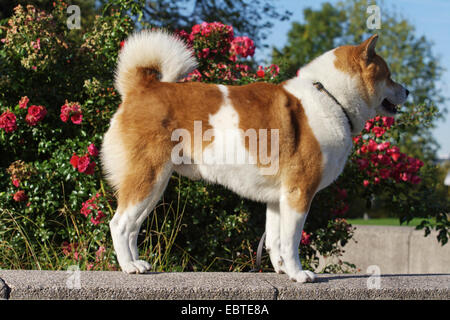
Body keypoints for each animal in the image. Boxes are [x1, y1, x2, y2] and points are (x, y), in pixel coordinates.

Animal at [101, 30, 408, 282]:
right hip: (148, 178)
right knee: (119, 224)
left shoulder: (279, 199)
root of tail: (141, 88)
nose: (407, 90)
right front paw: (298, 274)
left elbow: (275, 240)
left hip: (153, 186)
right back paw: (128, 267)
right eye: (388, 76)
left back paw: (138, 264)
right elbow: (292, 241)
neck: (331, 97)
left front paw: (283, 270)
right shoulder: (299, 193)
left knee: (132, 227)